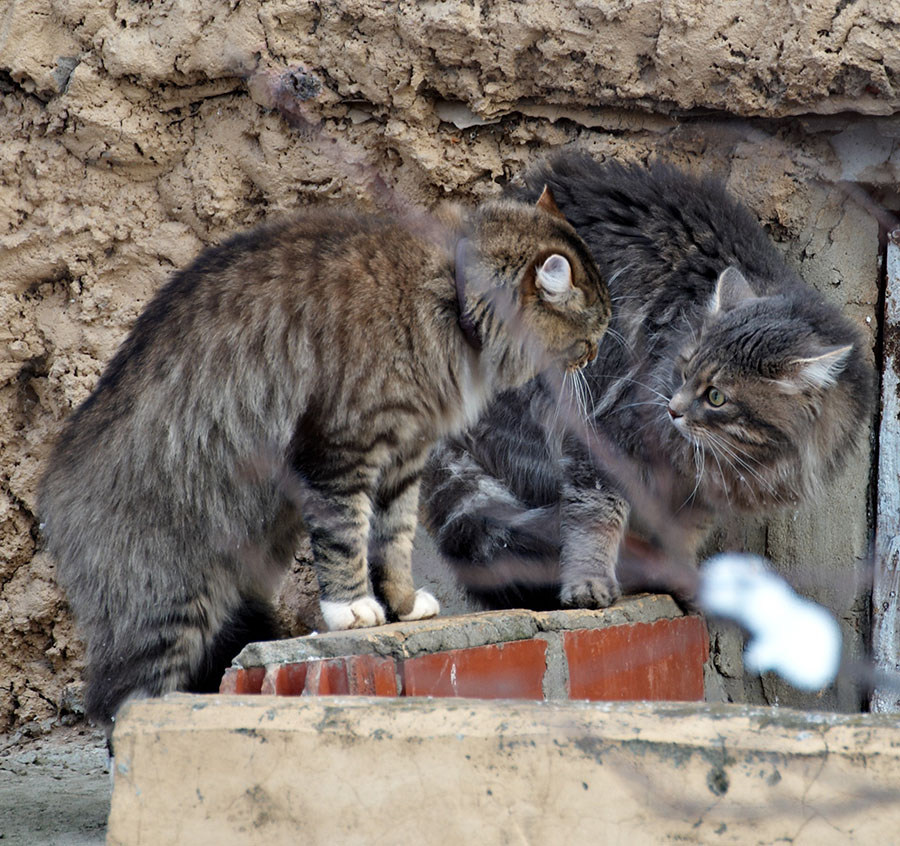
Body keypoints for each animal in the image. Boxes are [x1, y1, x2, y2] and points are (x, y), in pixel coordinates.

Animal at [37, 190, 612, 724]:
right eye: (591, 336)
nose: (595, 360)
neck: (449, 294)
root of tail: (51, 488)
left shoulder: (404, 459)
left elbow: (394, 542)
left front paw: (402, 605)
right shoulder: (338, 452)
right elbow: (345, 540)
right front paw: (352, 609)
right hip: (169, 605)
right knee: (124, 704)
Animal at [424, 152, 880, 612]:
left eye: (716, 397)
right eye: (684, 369)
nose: (673, 408)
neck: (744, 459)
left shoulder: (698, 493)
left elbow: (682, 535)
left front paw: (682, 577)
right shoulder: (606, 437)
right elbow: (595, 519)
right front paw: (589, 583)